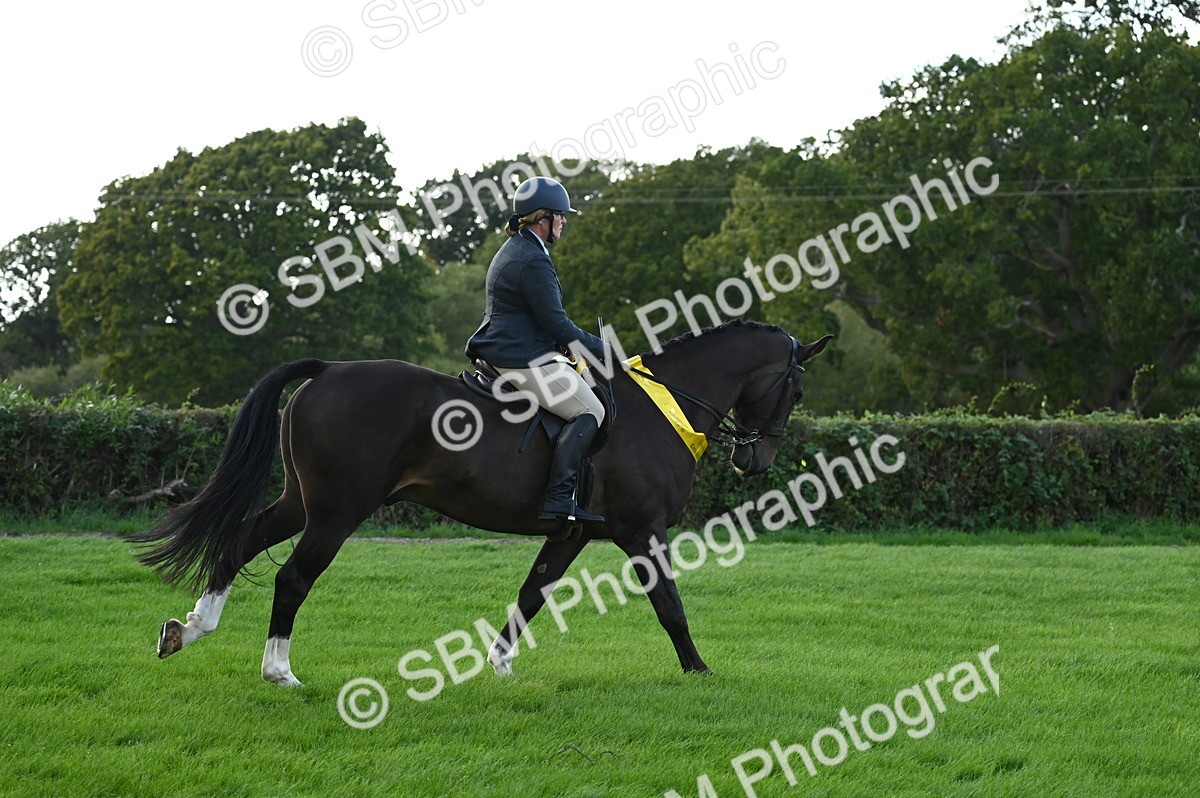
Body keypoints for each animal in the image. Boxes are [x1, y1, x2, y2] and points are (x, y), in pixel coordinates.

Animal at [132, 320, 832, 686]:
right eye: (796, 390)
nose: (755, 461)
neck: (665, 406)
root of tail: (329, 369)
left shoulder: (572, 533)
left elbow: (531, 594)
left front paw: (498, 665)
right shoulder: (642, 530)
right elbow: (669, 604)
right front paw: (698, 670)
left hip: (304, 502)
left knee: (240, 541)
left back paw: (189, 629)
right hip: (336, 513)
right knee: (293, 577)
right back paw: (279, 671)